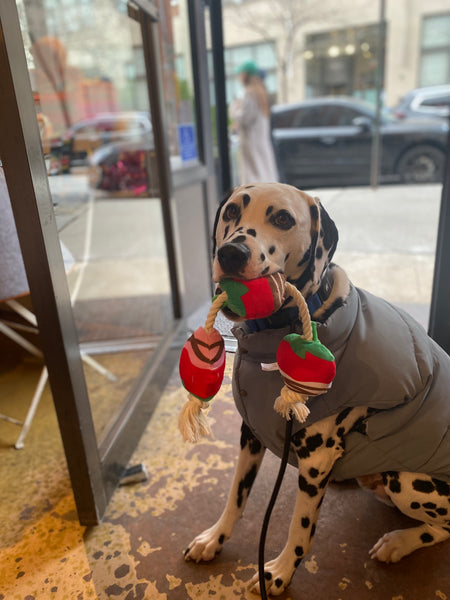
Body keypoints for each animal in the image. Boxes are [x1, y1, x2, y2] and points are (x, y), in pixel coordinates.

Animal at [183, 182, 450, 596]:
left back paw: (398, 542)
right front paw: (215, 538)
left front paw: (278, 573)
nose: (231, 253)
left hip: (409, 482)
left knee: (441, 528)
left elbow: (300, 529)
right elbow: (236, 498)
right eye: (231, 212)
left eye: (282, 219)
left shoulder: (315, 458)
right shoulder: (250, 435)